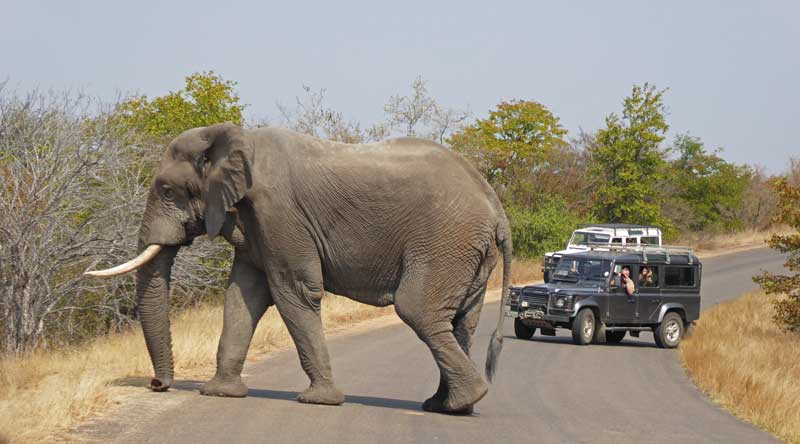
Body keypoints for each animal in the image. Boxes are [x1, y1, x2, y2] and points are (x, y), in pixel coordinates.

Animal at [87, 123, 512, 414]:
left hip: (447, 241)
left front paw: (318, 401)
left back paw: (461, 401)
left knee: (418, 310)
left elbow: (292, 291)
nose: (157, 384)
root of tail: (496, 207)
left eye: (167, 190)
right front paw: (220, 392)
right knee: (461, 321)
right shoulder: (255, 225)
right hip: (468, 254)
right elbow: (243, 296)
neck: (235, 138)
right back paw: (448, 406)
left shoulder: (280, 215)